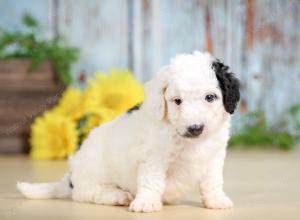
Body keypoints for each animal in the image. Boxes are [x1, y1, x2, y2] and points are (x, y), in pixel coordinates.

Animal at [17, 50, 240, 212]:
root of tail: (71, 176)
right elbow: (152, 180)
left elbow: (212, 181)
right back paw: (116, 195)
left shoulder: (213, 157)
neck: (187, 140)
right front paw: (147, 203)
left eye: (210, 97)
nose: (195, 128)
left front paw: (217, 200)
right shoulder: (154, 157)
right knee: (85, 192)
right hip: (93, 170)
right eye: (177, 101)